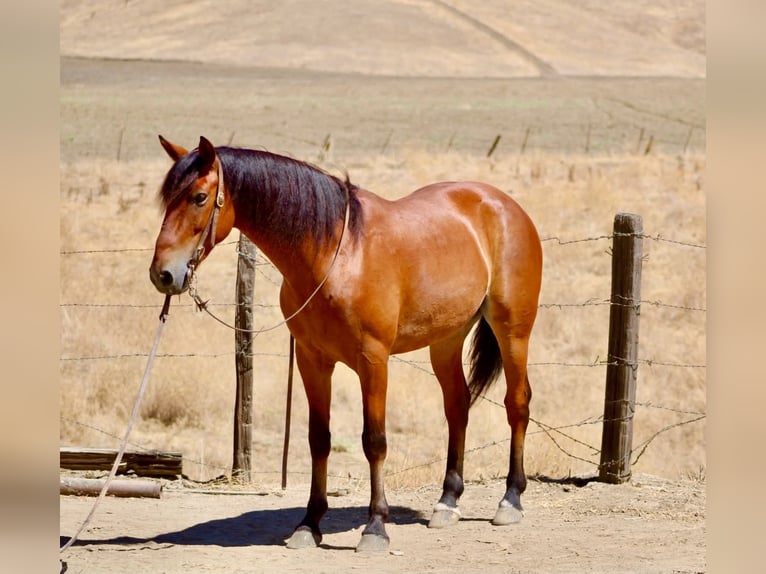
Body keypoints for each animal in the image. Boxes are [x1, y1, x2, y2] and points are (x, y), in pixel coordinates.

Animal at [149, 136, 543, 553]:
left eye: (199, 197)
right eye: (168, 198)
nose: (163, 274)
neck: (335, 257)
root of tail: (502, 204)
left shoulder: (373, 360)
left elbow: (375, 442)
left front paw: (375, 527)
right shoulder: (313, 360)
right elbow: (318, 439)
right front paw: (309, 524)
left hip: (513, 332)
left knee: (517, 404)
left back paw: (510, 501)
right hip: (446, 340)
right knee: (457, 406)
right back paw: (447, 502)